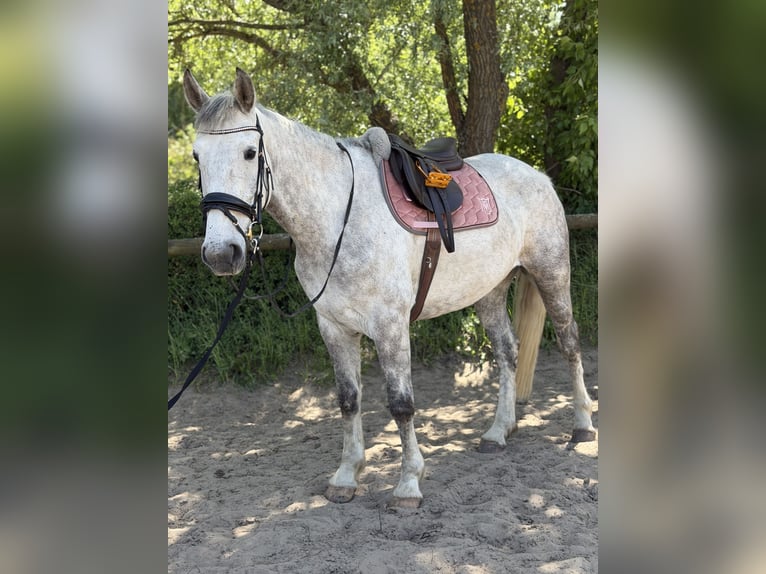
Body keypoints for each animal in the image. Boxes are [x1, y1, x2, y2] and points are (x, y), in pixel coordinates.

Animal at [181, 68, 596, 508]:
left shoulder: (390, 326)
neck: (339, 218)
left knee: (570, 342)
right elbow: (348, 400)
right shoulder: (333, 326)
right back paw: (499, 431)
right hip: (490, 292)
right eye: (196, 156)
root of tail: (538, 175)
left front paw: (408, 484)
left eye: (249, 153)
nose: (221, 253)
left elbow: (401, 404)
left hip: (552, 274)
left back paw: (582, 425)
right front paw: (346, 476)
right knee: (508, 352)